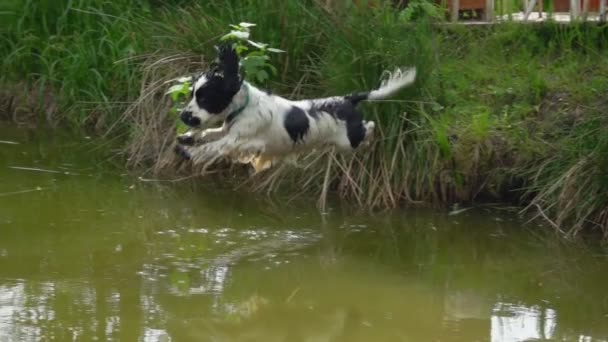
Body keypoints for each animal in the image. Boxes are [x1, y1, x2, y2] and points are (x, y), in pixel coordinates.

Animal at [173, 45, 416, 172]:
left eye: (205, 99)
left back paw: (370, 135)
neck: (243, 107)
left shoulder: (242, 140)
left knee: (369, 127)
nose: (184, 116)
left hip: (348, 141)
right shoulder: (228, 129)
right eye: (192, 95)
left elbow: (215, 146)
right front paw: (187, 138)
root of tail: (348, 99)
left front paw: (190, 152)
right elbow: (209, 133)